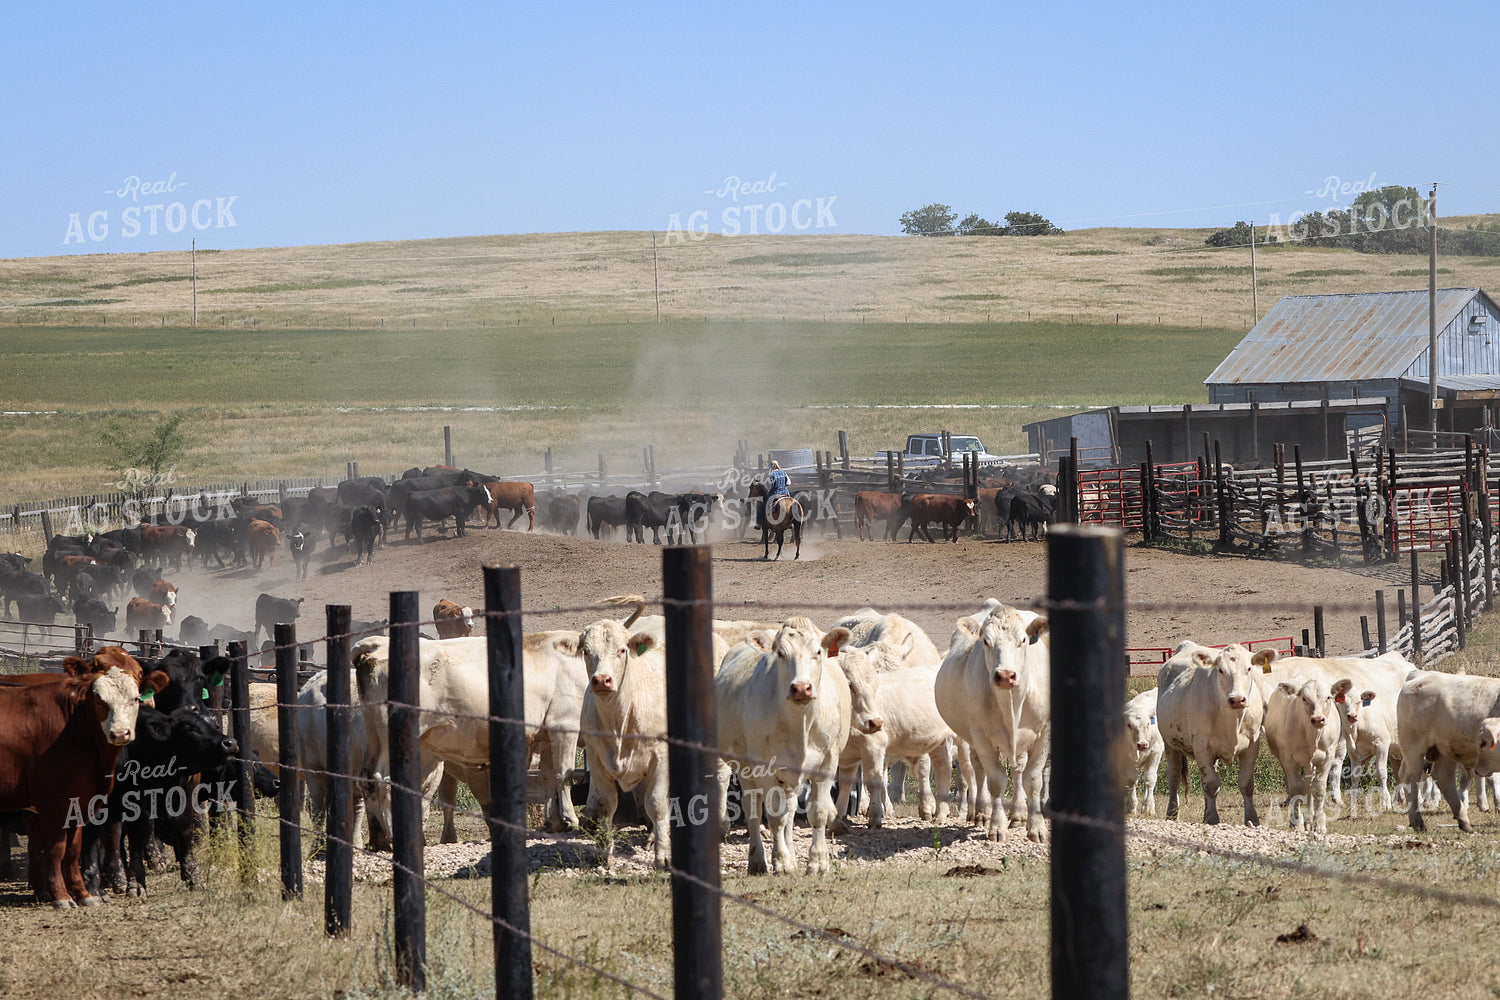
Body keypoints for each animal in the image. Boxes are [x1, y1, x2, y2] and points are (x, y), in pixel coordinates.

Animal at [0, 650, 167, 906]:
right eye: (98, 699)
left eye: (136, 698)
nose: (120, 733)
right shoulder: (52, 804)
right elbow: (57, 848)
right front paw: (61, 896)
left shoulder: (79, 802)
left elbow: (73, 849)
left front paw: (84, 894)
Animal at [715, 619, 854, 874]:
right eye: (780, 653)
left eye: (818, 652)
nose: (801, 687)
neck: (799, 723)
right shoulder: (765, 769)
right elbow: (775, 817)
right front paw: (782, 862)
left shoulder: (827, 764)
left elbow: (817, 813)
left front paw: (817, 862)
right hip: (746, 769)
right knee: (753, 810)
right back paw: (758, 860)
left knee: (789, 810)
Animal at [934, 601, 1051, 842]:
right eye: (986, 642)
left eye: (1023, 640)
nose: (1005, 675)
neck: (1011, 703)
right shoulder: (981, 735)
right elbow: (996, 780)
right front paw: (997, 826)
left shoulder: (1043, 733)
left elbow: (1032, 779)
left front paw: (1036, 828)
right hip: (970, 738)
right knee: (979, 771)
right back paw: (981, 813)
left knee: (1018, 770)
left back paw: (1018, 815)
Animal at [1123, 688, 1163, 816]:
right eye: (1129, 725)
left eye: (1148, 723)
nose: (1142, 744)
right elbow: (1131, 779)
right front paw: (1131, 807)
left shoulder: (1156, 751)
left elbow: (1150, 778)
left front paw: (1149, 807)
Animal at [1156, 641, 1264, 826]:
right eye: (1220, 670)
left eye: (1249, 668)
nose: (1237, 699)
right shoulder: (1201, 746)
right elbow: (1212, 784)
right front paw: (1213, 819)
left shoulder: (1252, 745)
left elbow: (1246, 784)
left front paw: (1252, 819)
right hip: (1170, 743)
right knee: (1174, 776)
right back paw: (1172, 814)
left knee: (1204, 779)